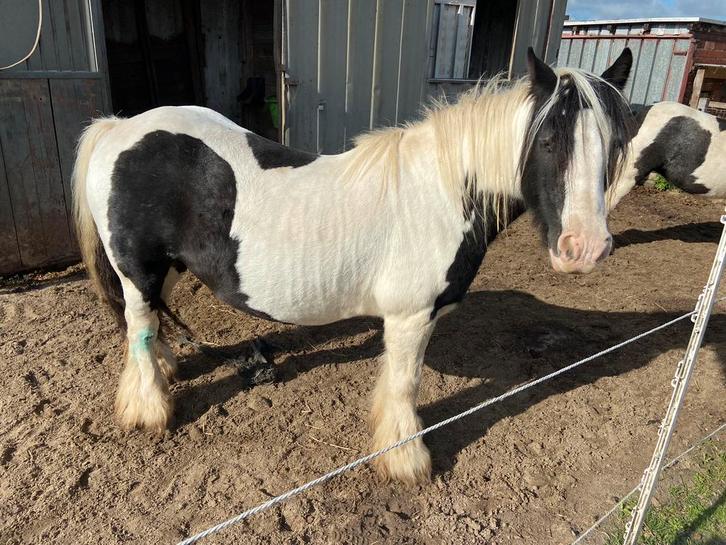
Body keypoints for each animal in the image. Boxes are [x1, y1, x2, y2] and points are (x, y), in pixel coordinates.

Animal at [72, 48, 632, 485]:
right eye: (547, 141)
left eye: (614, 145)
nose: (584, 248)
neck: (442, 192)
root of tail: (121, 127)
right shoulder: (411, 317)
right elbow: (405, 385)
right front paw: (406, 462)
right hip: (138, 269)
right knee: (140, 325)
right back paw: (150, 408)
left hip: (165, 267)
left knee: (147, 325)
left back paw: (165, 369)